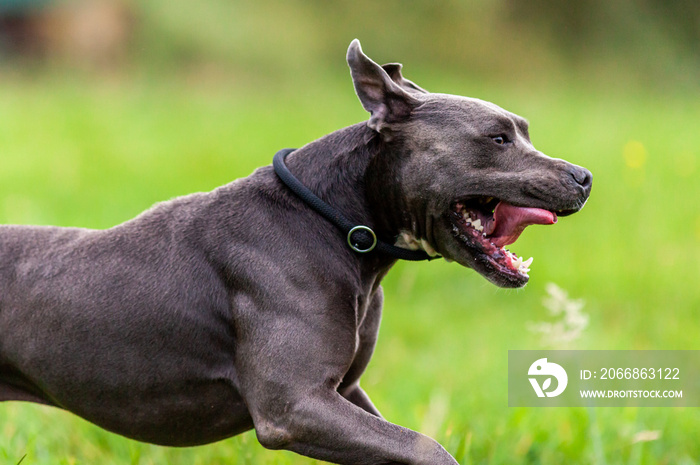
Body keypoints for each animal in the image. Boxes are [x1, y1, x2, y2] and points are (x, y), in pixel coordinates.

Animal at [0, 40, 592, 464]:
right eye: (497, 139)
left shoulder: (343, 393)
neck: (338, 223)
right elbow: (429, 448)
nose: (584, 176)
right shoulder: (295, 406)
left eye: (524, 132)